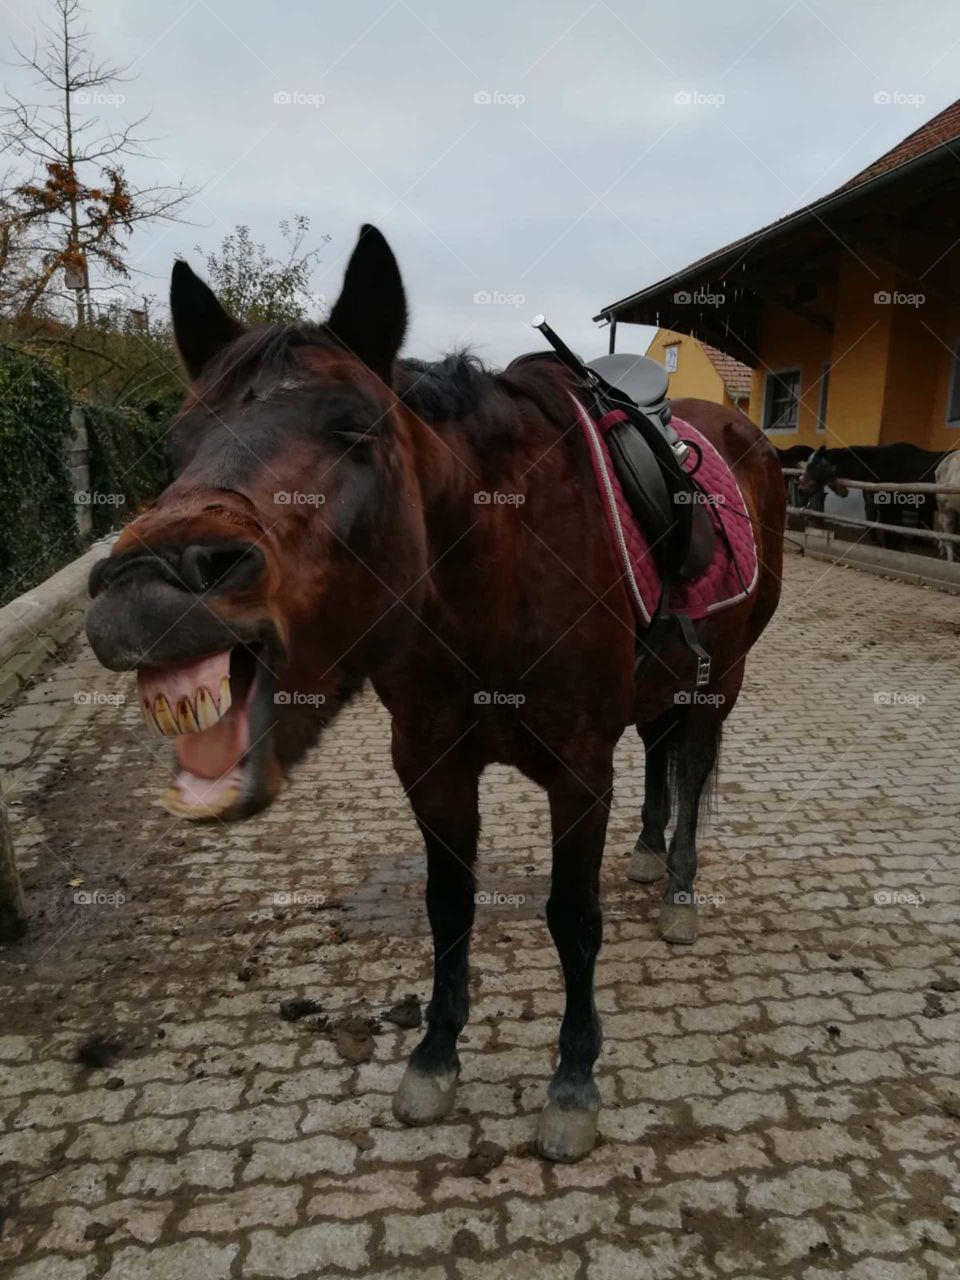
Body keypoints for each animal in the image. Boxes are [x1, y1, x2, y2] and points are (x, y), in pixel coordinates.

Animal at [85, 225, 785, 1162]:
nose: (149, 588)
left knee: (693, 760)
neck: (499, 564)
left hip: (724, 679)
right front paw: (434, 1055)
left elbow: (573, 916)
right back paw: (645, 851)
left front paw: (573, 1079)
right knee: (660, 749)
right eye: (175, 445)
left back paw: (677, 889)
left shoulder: (578, 771)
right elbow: (448, 907)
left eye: (355, 426)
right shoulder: (430, 763)